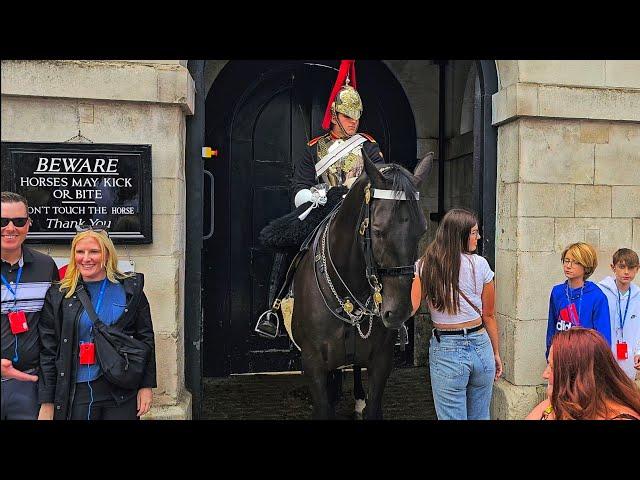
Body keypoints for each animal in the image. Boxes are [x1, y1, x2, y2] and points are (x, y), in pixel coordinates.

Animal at [292, 152, 432, 418]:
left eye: (422, 231)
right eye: (377, 231)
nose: (398, 312)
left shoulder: (381, 361)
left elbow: (373, 406)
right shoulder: (313, 363)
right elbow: (323, 407)